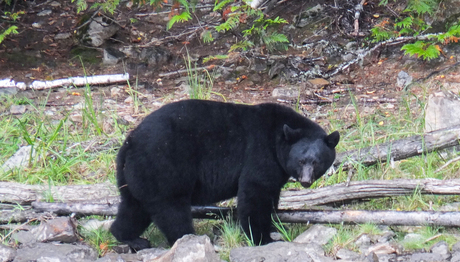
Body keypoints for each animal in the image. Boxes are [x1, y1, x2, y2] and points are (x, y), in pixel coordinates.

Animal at [110, 99, 340, 251]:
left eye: (316, 162)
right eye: (301, 160)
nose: (305, 181)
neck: (278, 139)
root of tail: (129, 142)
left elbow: (271, 194)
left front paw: (275, 226)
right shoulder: (260, 153)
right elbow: (255, 193)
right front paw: (263, 238)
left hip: (137, 175)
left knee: (134, 207)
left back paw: (129, 237)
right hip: (163, 166)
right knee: (171, 209)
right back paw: (188, 238)